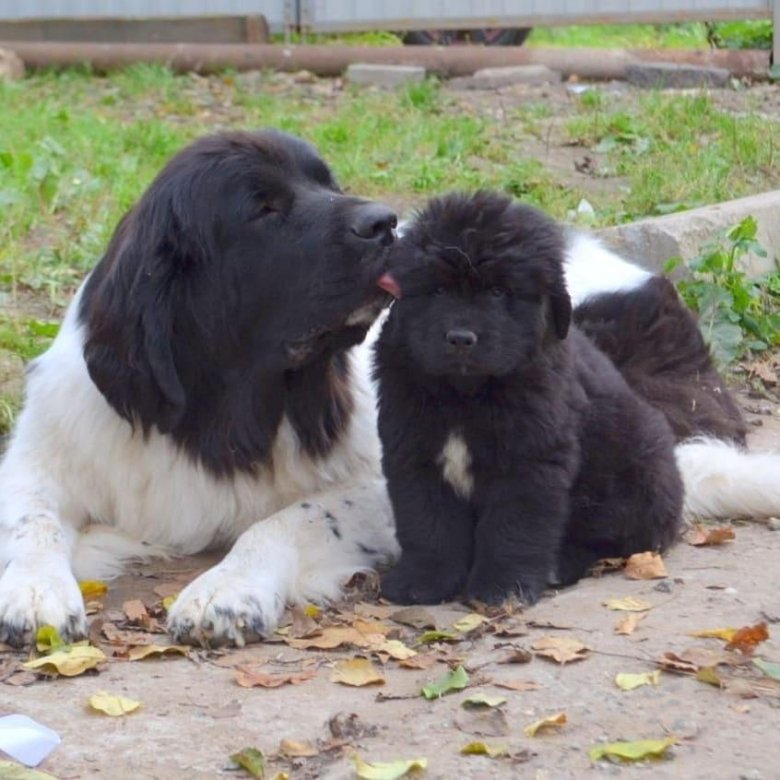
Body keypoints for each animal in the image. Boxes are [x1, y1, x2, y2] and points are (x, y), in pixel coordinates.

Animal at [372, 192, 684, 608]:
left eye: (498, 292)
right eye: (437, 290)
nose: (460, 338)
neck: (465, 395)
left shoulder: (529, 463)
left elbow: (513, 528)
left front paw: (503, 587)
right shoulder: (414, 453)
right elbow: (427, 522)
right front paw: (422, 581)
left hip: (635, 476)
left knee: (612, 539)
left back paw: (559, 565)